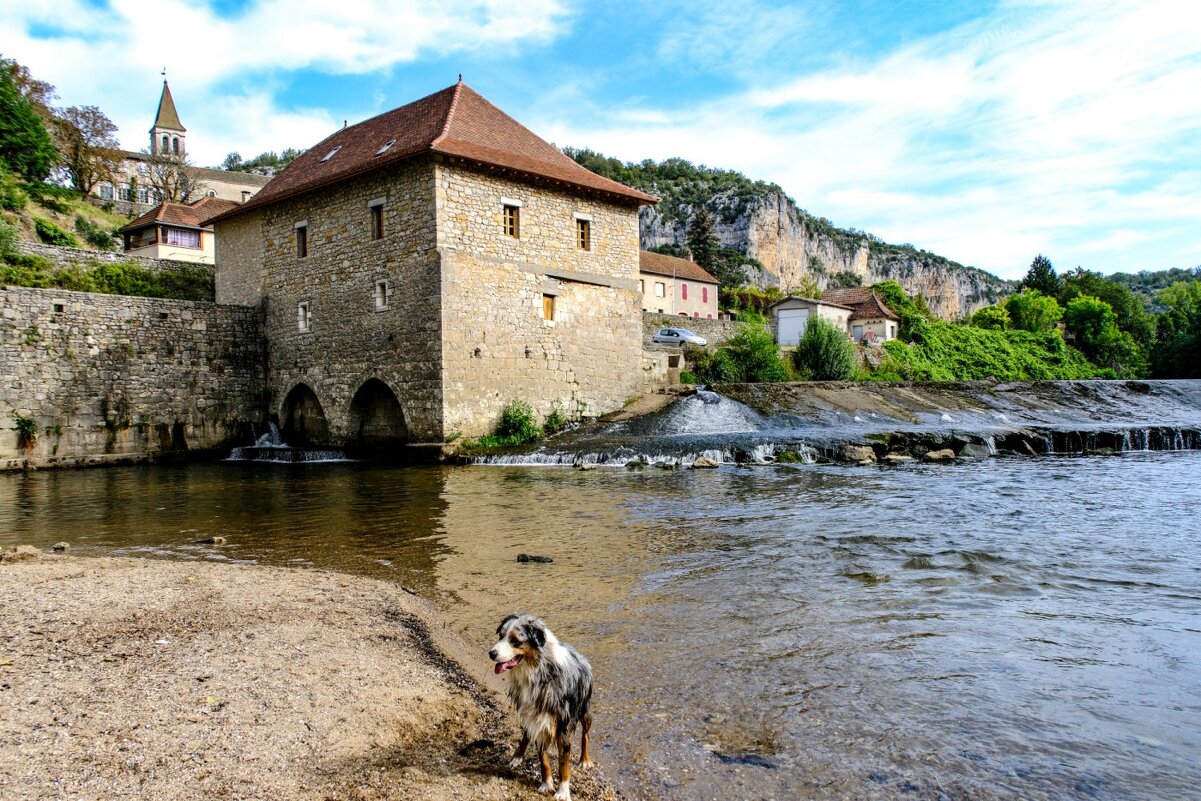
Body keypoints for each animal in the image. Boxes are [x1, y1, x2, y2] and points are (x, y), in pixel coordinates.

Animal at [490, 619, 593, 797]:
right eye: (501, 636)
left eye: (515, 640)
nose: (491, 653)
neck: (538, 672)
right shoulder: (537, 720)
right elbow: (543, 759)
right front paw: (546, 784)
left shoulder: (562, 726)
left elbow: (563, 764)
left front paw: (562, 792)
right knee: (526, 734)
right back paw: (517, 756)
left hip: (584, 710)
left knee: (585, 734)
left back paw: (585, 760)